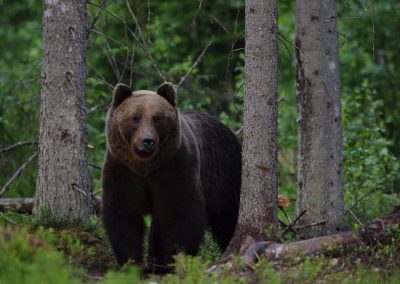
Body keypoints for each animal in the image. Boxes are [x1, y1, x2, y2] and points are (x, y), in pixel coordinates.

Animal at [103, 81, 241, 270]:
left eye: (157, 118)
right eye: (135, 118)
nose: (147, 141)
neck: (145, 166)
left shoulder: (174, 168)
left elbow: (178, 216)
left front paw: (169, 261)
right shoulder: (122, 170)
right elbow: (124, 214)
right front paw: (130, 262)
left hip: (226, 175)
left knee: (228, 218)